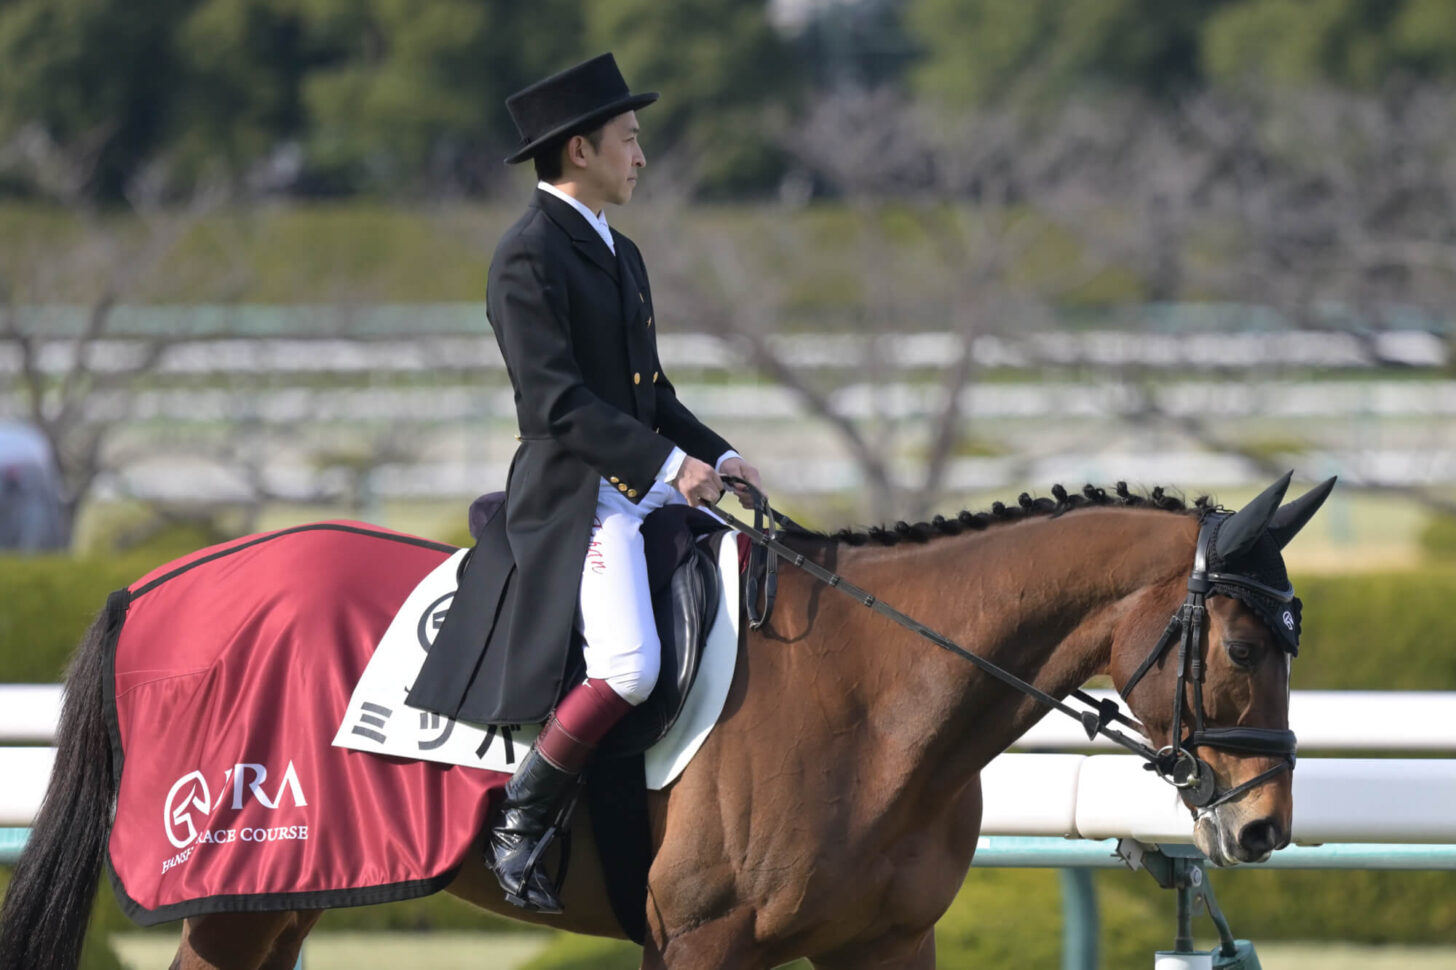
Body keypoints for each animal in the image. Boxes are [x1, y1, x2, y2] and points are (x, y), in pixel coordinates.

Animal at [0, 471, 1333, 961]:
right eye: (1246, 643)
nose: (1262, 827)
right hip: (236, 887)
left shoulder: (884, 942)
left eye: (1293, 637)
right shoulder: (704, 942)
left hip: (287, 891)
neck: (882, 699)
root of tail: (159, 585)